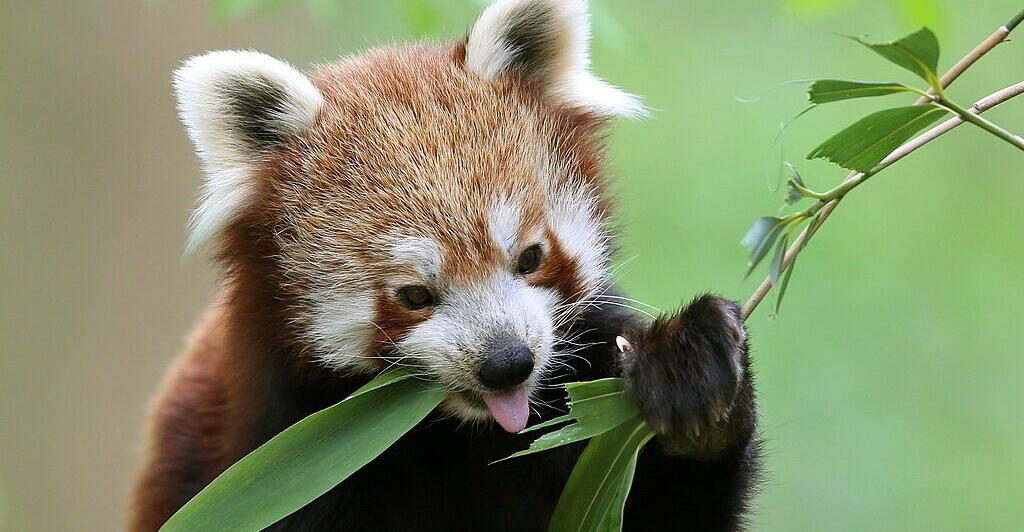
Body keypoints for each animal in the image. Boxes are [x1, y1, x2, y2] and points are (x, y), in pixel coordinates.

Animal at [130, 1, 761, 532]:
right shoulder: (284, 452)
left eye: (531, 258)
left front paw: (691, 372)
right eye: (414, 295)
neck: (474, 437)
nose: (508, 363)